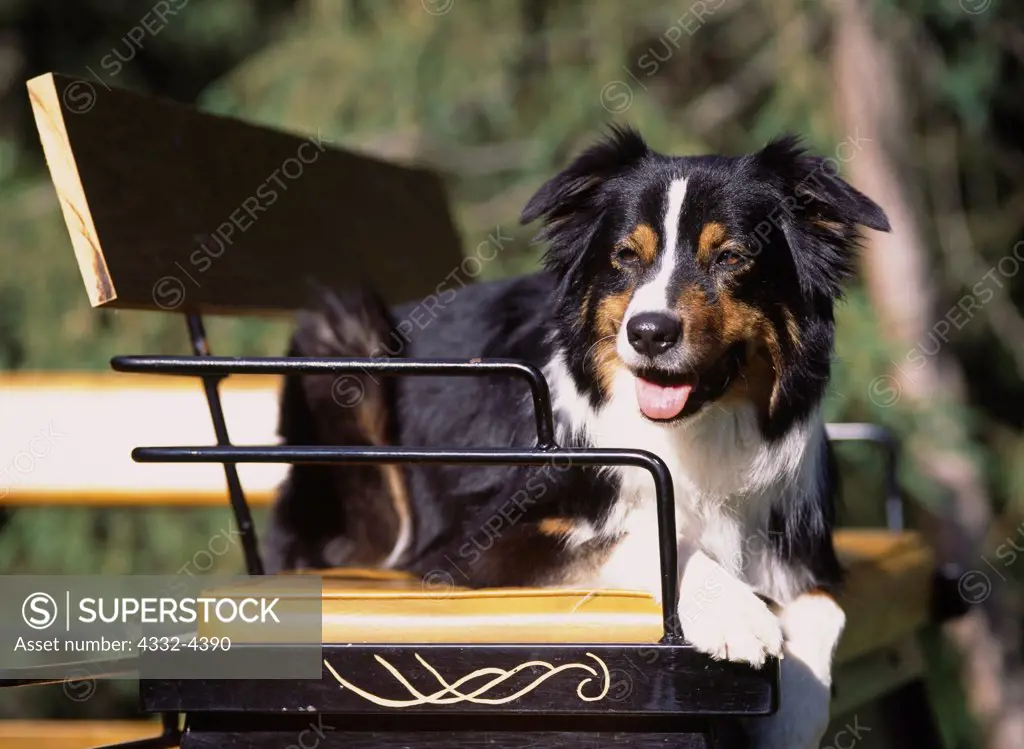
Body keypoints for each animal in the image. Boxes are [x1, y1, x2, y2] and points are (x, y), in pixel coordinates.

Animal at [262, 126, 888, 745]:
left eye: (732, 256)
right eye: (626, 256)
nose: (649, 332)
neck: (692, 435)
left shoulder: (800, 549)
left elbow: (824, 606)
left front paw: (796, 709)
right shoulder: (471, 547)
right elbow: (632, 537)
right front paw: (732, 610)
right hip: (345, 336)